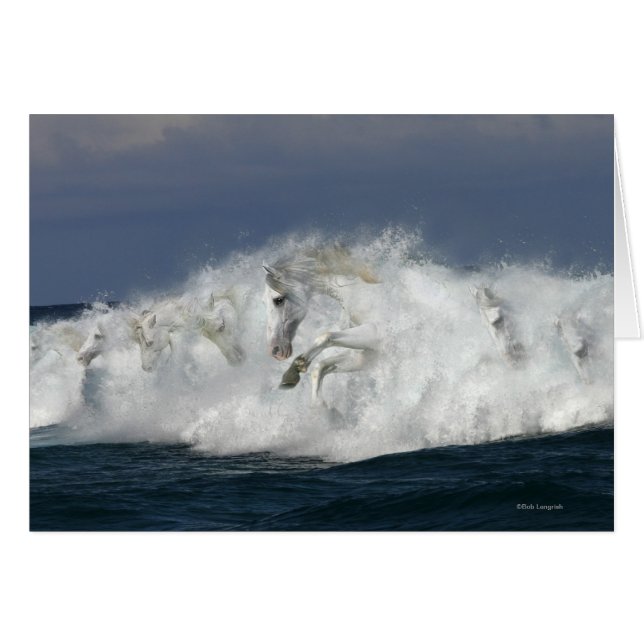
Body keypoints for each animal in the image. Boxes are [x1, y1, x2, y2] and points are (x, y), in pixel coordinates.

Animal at [263, 245, 381, 405]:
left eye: (278, 300)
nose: (274, 350)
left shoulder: (376, 333)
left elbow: (325, 337)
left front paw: (294, 370)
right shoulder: (368, 354)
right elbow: (320, 367)